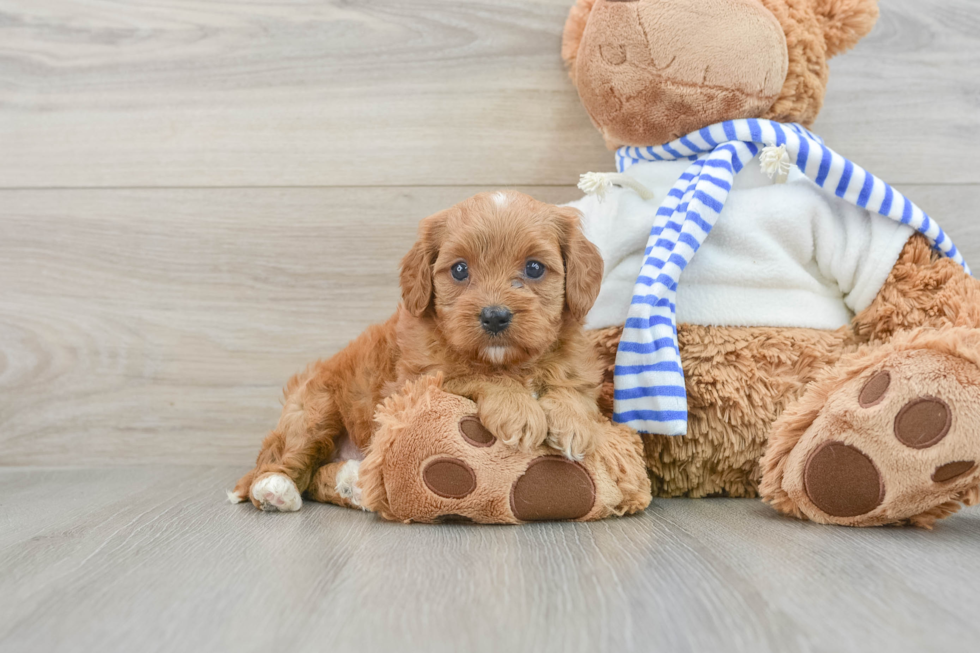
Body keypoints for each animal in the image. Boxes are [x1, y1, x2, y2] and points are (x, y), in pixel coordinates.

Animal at [234, 188, 608, 510]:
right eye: (459, 270)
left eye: (534, 267)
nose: (495, 316)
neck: (511, 363)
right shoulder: (418, 378)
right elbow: (474, 373)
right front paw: (518, 411)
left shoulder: (577, 365)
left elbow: (572, 387)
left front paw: (573, 423)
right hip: (314, 409)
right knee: (290, 457)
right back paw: (275, 488)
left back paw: (354, 483)